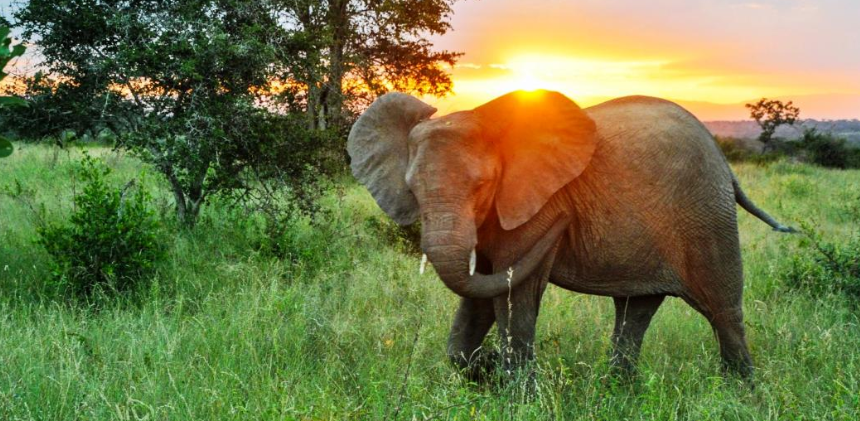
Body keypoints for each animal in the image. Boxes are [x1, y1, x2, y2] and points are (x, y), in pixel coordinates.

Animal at [344, 90, 792, 378]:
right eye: (412, 188)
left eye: (482, 186)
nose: (489, 364)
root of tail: (723, 161)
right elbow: (482, 289)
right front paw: (482, 370)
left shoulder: (537, 206)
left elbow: (511, 289)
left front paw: (514, 392)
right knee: (636, 310)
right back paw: (617, 392)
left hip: (707, 214)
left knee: (723, 312)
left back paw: (739, 393)